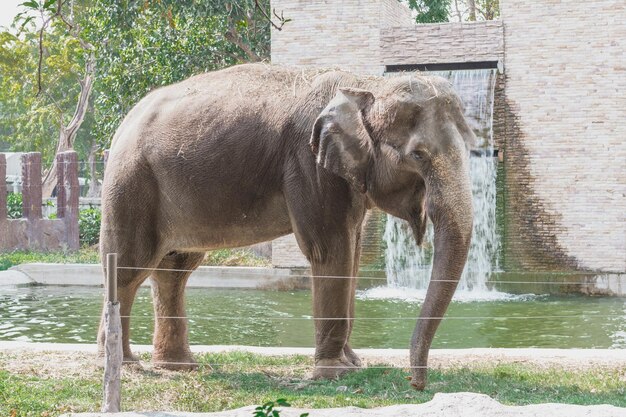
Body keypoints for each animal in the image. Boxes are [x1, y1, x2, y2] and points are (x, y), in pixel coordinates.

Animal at [97, 62, 470, 390]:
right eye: (419, 154)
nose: (416, 383)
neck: (365, 84)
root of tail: (123, 122)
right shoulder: (308, 162)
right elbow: (330, 250)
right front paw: (335, 373)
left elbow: (352, 253)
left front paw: (353, 364)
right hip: (131, 183)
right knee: (130, 268)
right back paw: (123, 365)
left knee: (174, 270)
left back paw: (179, 366)